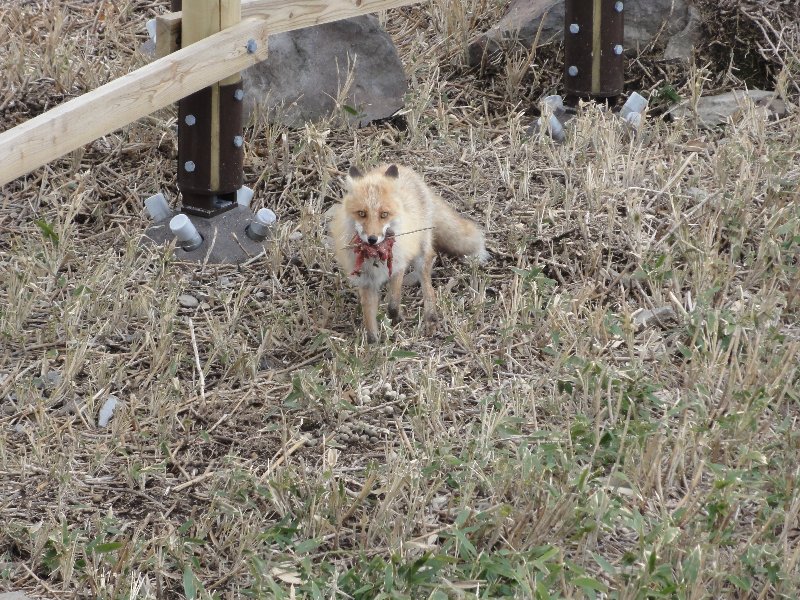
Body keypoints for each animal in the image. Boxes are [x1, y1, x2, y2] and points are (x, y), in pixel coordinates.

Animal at [326, 163, 488, 342]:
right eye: (362, 213)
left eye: (384, 214)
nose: (372, 239)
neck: (375, 256)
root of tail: (405, 169)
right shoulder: (366, 281)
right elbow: (369, 320)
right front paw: (373, 344)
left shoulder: (398, 266)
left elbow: (393, 304)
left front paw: (397, 318)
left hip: (422, 253)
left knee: (429, 287)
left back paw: (431, 318)